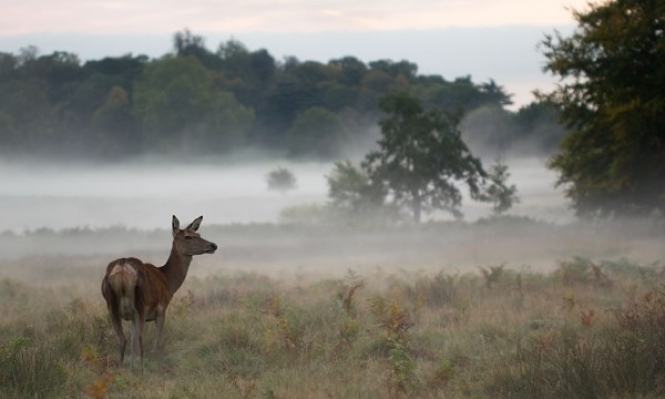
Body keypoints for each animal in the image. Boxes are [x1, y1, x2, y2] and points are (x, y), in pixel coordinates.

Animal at [100, 216, 217, 372]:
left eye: (198, 234)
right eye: (187, 236)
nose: (213, 245)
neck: (168, 280)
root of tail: (122, 268)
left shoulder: (131, 317)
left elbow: (132, 340)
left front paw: (131, 370)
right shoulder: (161, 309)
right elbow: (158, 342)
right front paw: (161, 370)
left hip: (111, 305)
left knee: (122, 339)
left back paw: (121, 370)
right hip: (140, 304)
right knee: (140, 338)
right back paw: (142, 372)